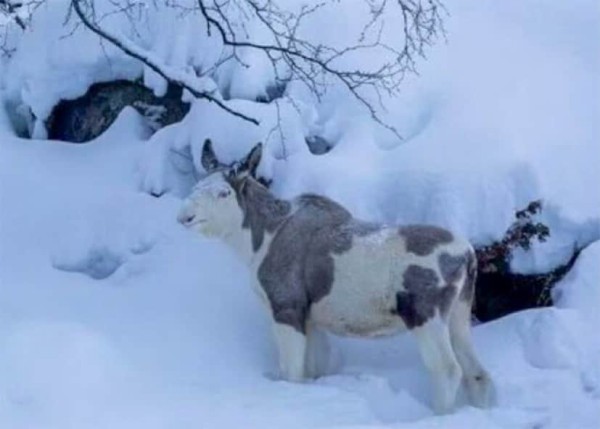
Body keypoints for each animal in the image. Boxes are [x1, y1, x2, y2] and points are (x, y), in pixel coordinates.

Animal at [179, 139, 496, 412]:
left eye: (223, 193)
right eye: (196, 186)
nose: (185, 216)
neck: (252, 244)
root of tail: (468, 255)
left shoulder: (286, 306)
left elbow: (292, 372)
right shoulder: (311, 316)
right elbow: (313, 370)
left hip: (425, 314)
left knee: (448, 369)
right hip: (459, 312)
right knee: (478, 372)